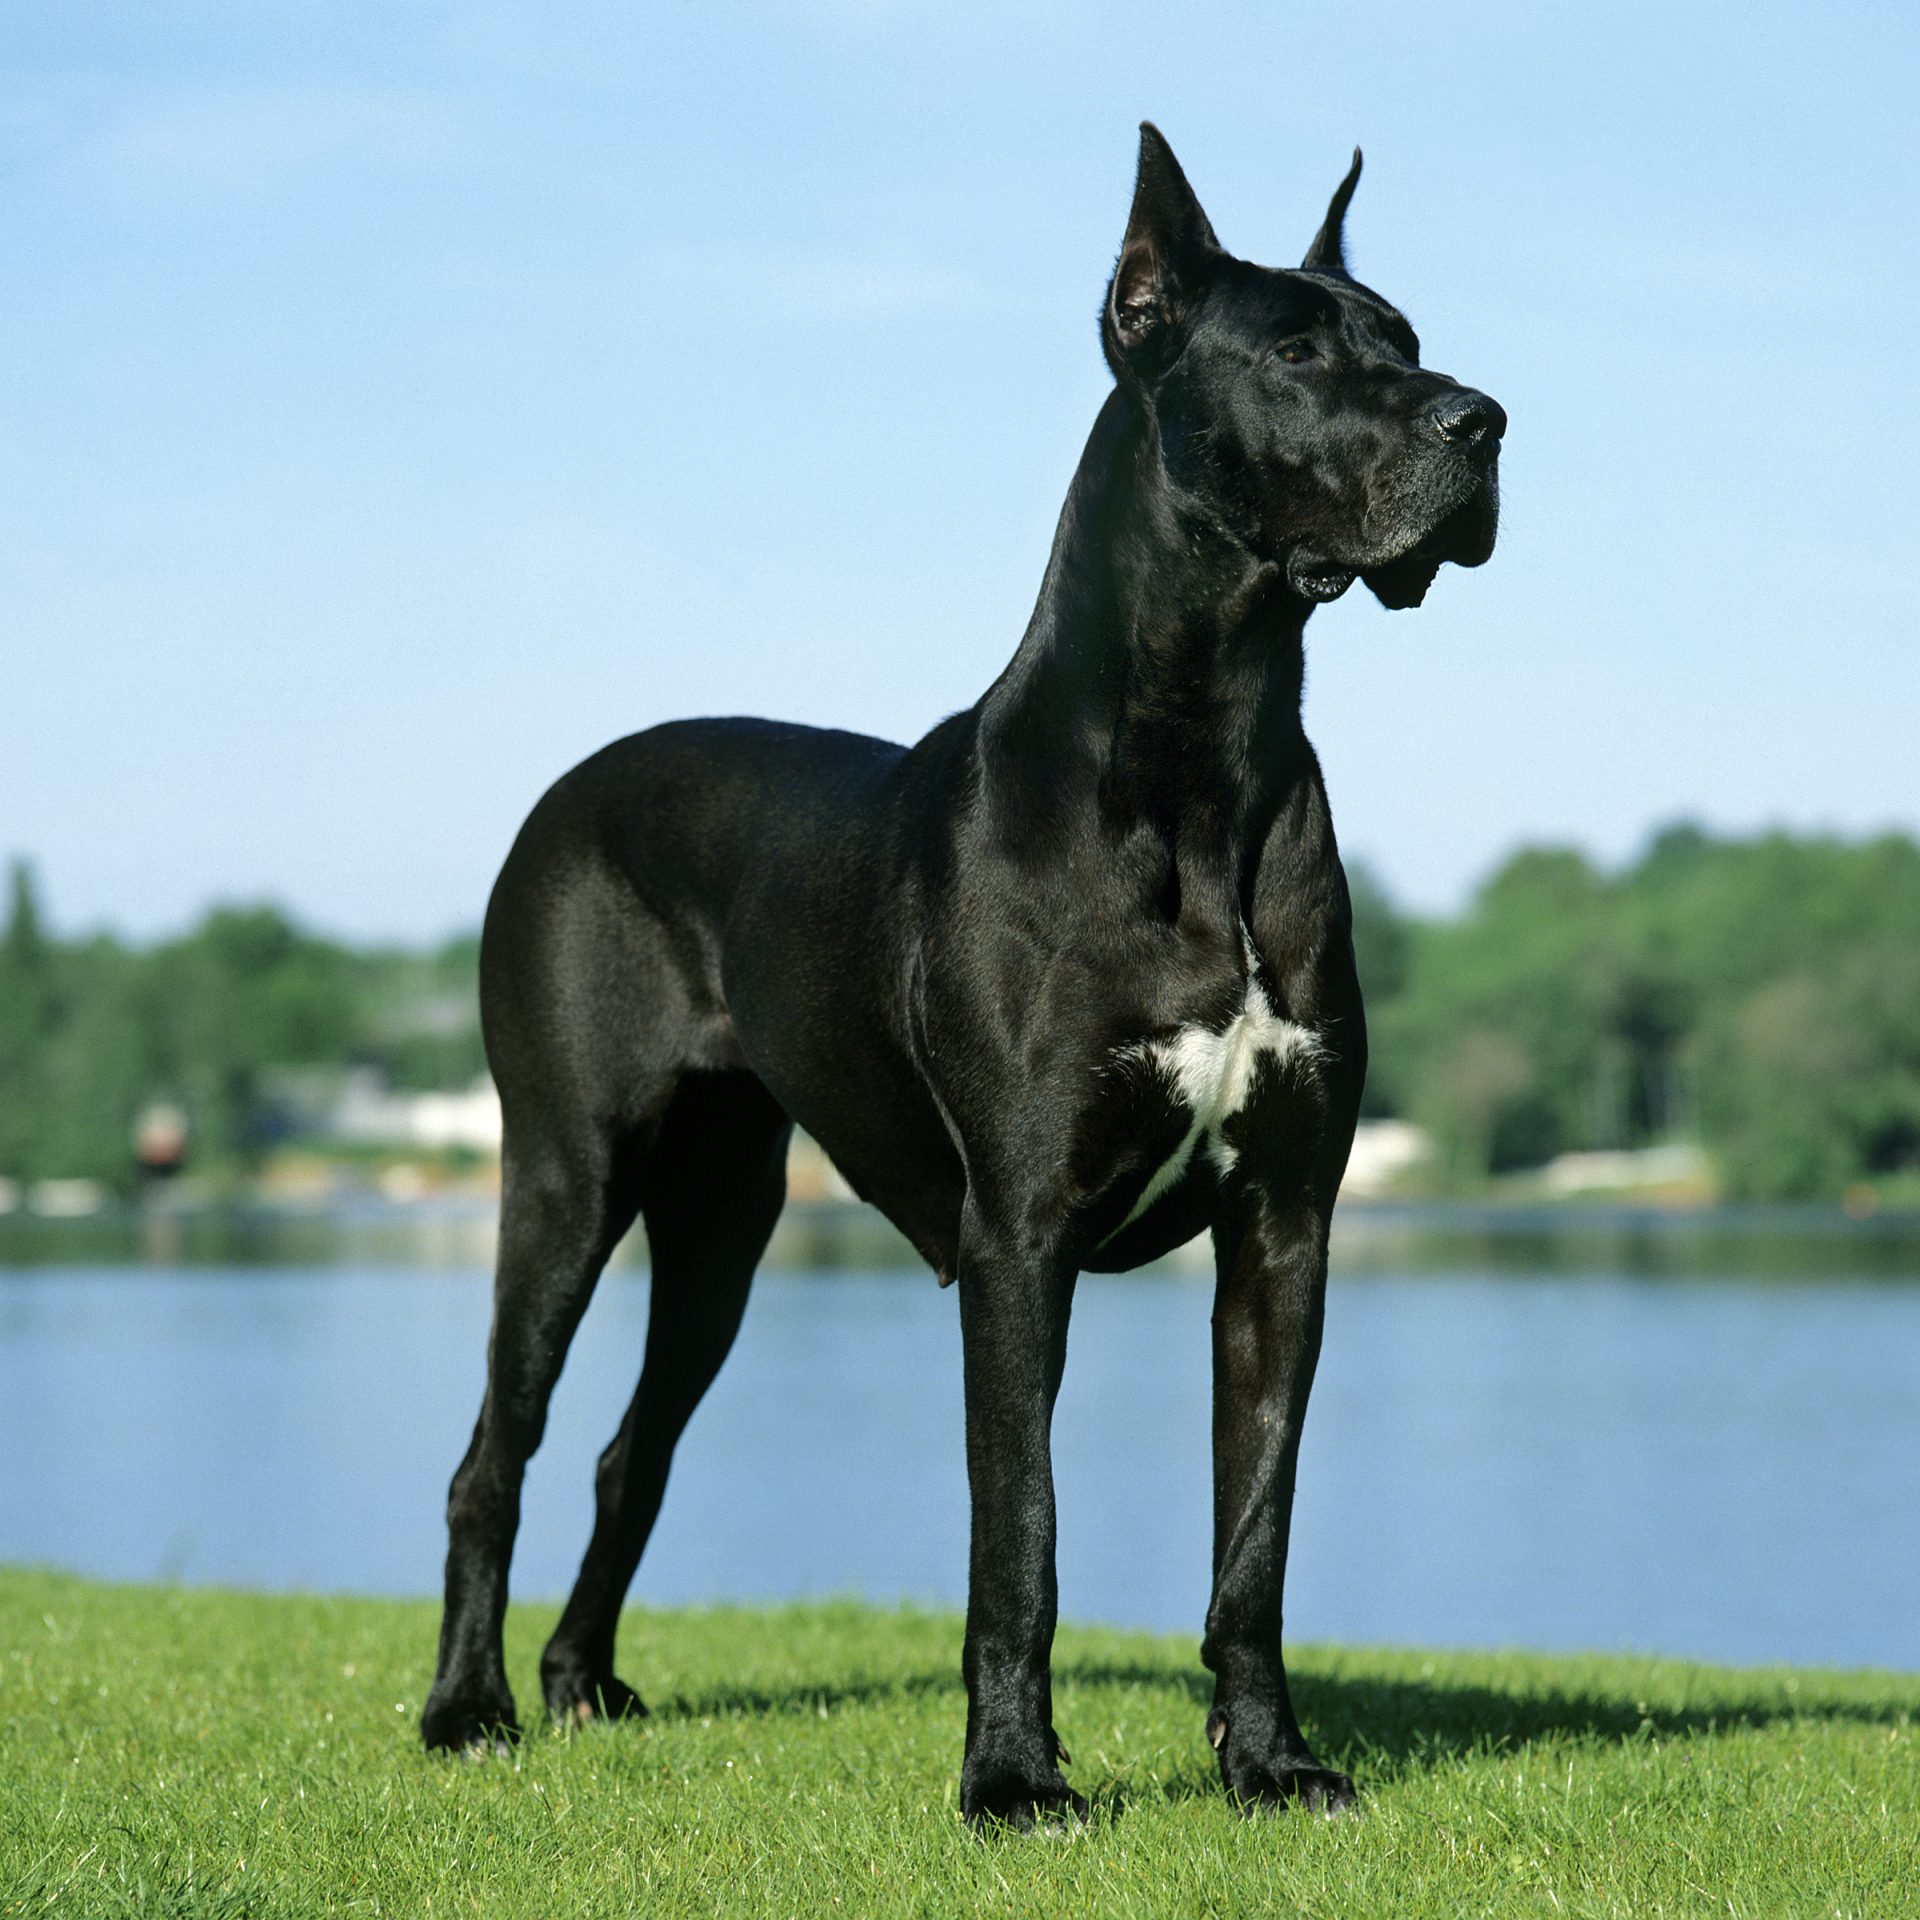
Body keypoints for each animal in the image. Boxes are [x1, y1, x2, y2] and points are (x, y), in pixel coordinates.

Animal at [420, 123, 1497, 1827]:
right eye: (1300, 354)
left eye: (1405, 335)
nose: (1488, 421)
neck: (1206, 750)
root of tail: (573, 784)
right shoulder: (1019, 1236)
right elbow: (1022, 1538)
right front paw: (1011, 1781)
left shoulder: (1286, 1229)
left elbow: (1254, 1536)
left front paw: (1269, 1762)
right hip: (565, 1175)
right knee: (495, 1457)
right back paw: (468, 1708)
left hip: (724, 1220)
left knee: (625, 1453)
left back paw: (583, 1684)